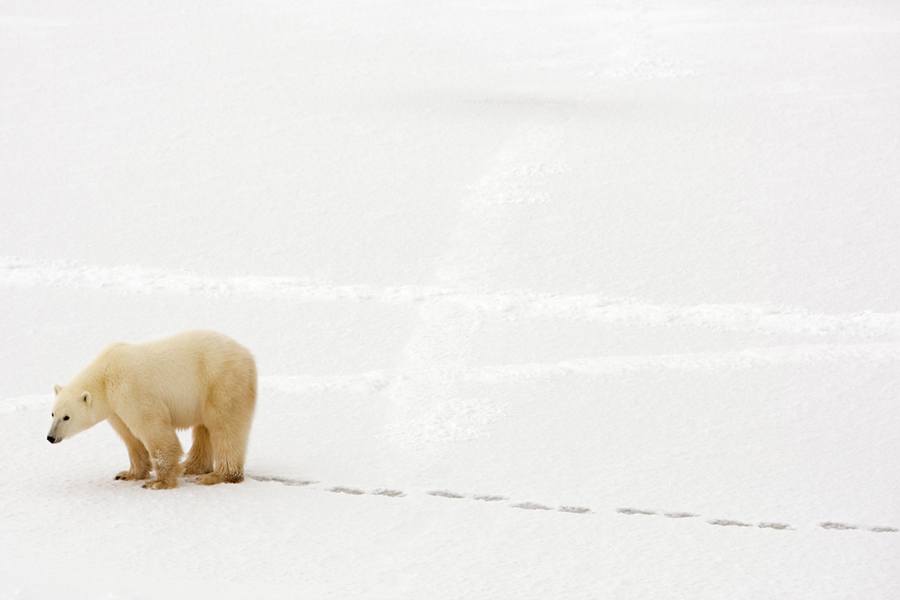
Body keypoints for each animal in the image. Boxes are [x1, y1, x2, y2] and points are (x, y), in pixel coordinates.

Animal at [46, 330, 257, 490]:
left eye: (67, 417)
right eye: (52, 413)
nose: (50, 437)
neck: (105, 375)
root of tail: (247, 354)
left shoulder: (130, 389)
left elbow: (153, 429)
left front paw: (159, 482)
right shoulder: (115, 407)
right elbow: (129, 436)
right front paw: (128, 473)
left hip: (221, 381)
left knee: (225, 427)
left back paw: (217, 476)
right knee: (204, 429)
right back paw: (190, 467)